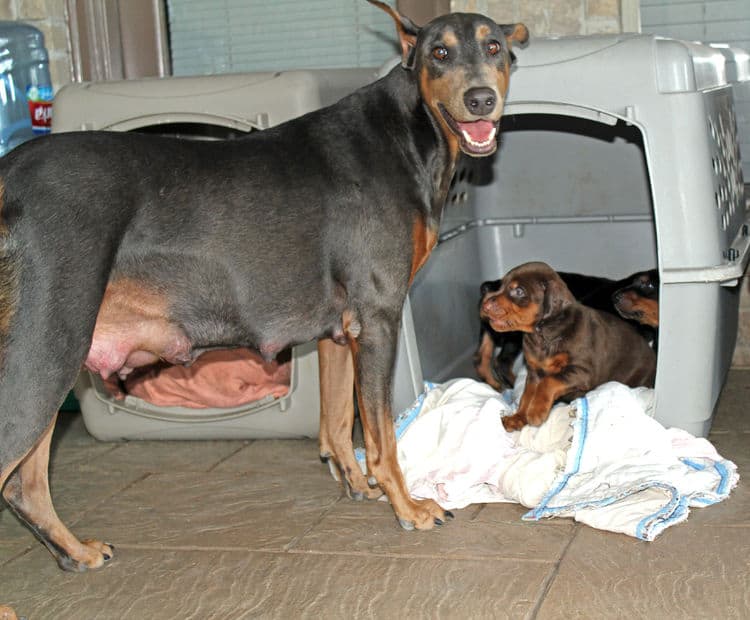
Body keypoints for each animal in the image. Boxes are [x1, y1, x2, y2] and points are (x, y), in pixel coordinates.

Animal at [0, 1, 528, 572]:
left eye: (494, 46)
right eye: (439, 53)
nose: (481, 98)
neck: (411, 128)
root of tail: (7, 176)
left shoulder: (341, 330)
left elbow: (337, 423)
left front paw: (358, 485)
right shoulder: (379, 317)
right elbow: (382, 436)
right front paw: (407, 506)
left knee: (25, 483)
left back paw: (75, 551)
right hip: (45, 350)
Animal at [484, 262, 656, 432]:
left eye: (519, 291)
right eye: (501, 286)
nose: (485, 305)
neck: (543, 335)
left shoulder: (581, 371)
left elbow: (548, 382)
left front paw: (536, 412)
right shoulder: (534, 372)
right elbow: (527, 396)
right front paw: (518, 418)